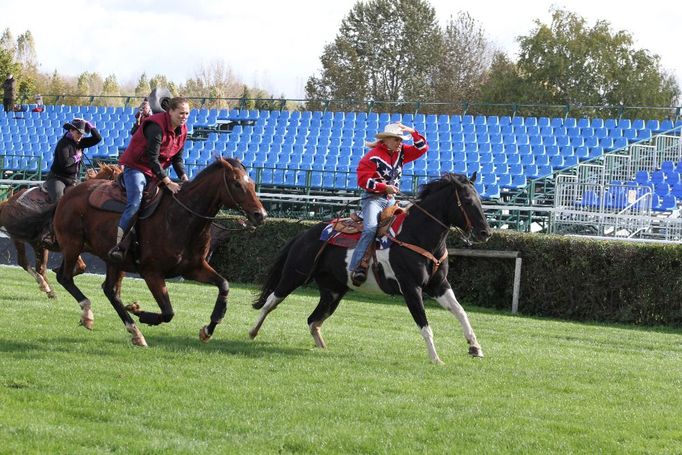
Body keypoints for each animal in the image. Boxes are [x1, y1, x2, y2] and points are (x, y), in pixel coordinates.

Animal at [0, 164, 121, 300]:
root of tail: (7, 202)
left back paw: (49, 290)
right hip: (19, 239)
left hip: (38, 245)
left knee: (40, 268)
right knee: (24, 262)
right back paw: (45, 286)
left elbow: (81, 267)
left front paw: (58, 270)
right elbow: (80, 266)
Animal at [52, 159, 266, 348]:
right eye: (236, 183)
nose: (260, 215)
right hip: (73, 244)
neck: (182, 217)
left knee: (110, 291)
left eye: (252, 182)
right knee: (65, 277)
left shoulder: (193, 268)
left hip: (112, 260)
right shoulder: (151, 272)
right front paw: (140, 311)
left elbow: (224, 285)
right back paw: (88, 313)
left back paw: (135, 332)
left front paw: (208, 329)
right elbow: (168, 312)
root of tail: (70, 193)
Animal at [247, 173, 492, 366]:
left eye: (480, 199)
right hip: (293, 276)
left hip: (333, 292)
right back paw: (252, 332)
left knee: (313, 320)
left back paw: (323, 347)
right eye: (467, 200)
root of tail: (304, 234)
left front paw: (475, 347)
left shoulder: (438, 285)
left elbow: (460, 311)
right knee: (271, 301)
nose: (486, 233)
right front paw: (435, 358)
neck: (415, 234)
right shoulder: (411, 288)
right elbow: (424, 324)